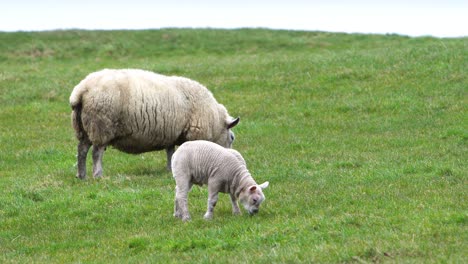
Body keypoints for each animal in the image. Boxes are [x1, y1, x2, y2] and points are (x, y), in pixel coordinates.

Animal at [68, 68, 241, 179]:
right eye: (232, 138)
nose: (231, 159)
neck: (215, 120)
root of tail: (81, 90)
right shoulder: (193, 134)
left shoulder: (172, 134)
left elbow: (170, 152)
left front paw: (170, 169)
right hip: (101, 126)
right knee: (96, 152)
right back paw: (98, 175)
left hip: (84, 128)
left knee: (82, 150)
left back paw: (81, 175)